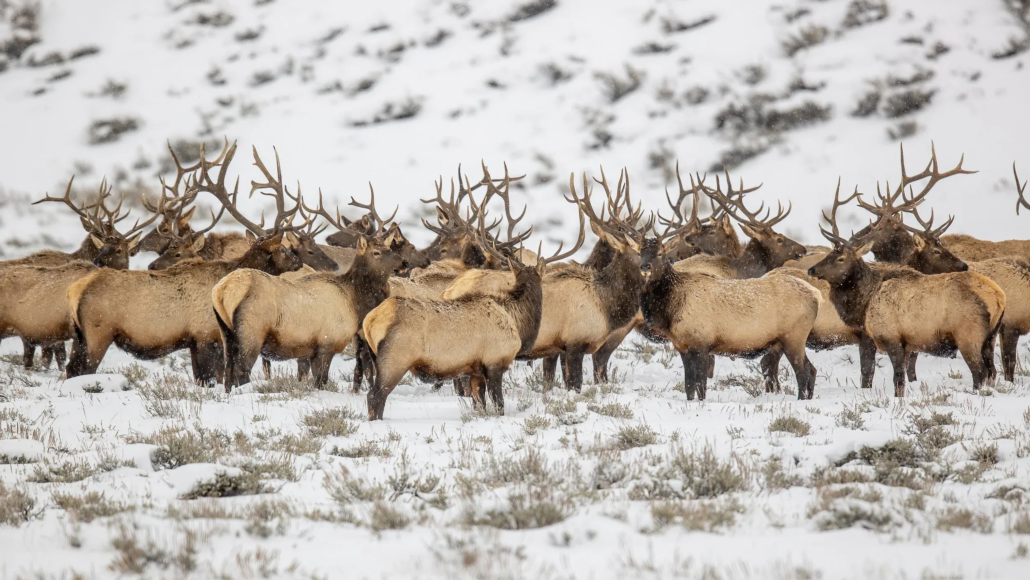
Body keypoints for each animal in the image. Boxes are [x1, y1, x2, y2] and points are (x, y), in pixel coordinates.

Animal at [65, 142, 335, 383]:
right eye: (283, 249)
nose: (298, 262)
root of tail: (75, 290)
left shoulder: (195, 341)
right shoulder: (206, 335)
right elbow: (212, 377)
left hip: (79, 336)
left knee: (70, 368)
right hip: (98, 332)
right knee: (83, 368)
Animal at [808, 179, 1005, 396]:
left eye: (841, 258)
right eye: (830, 254)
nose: (811, 269)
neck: (865, 305)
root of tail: (998, 296)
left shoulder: (892, 337)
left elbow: (896, 379)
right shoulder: (906, 343)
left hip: (968, 334)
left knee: (980, 372)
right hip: (991, 336)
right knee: (992, 371)